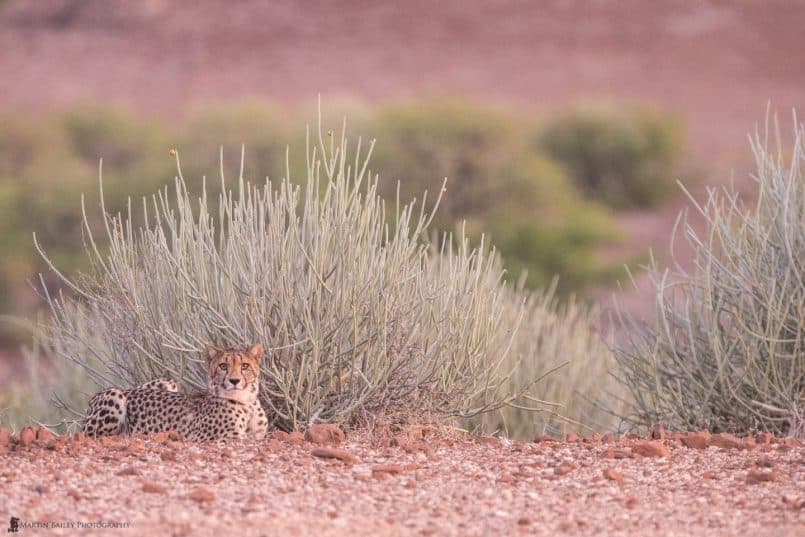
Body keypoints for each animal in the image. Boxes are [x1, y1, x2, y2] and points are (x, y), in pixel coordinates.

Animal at [82, 344, 270, 440]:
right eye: (223, 366)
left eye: (244, 366)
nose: (234, 381)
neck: (246, 402)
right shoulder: (213, 438)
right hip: (115, 395)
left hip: (168, 382)